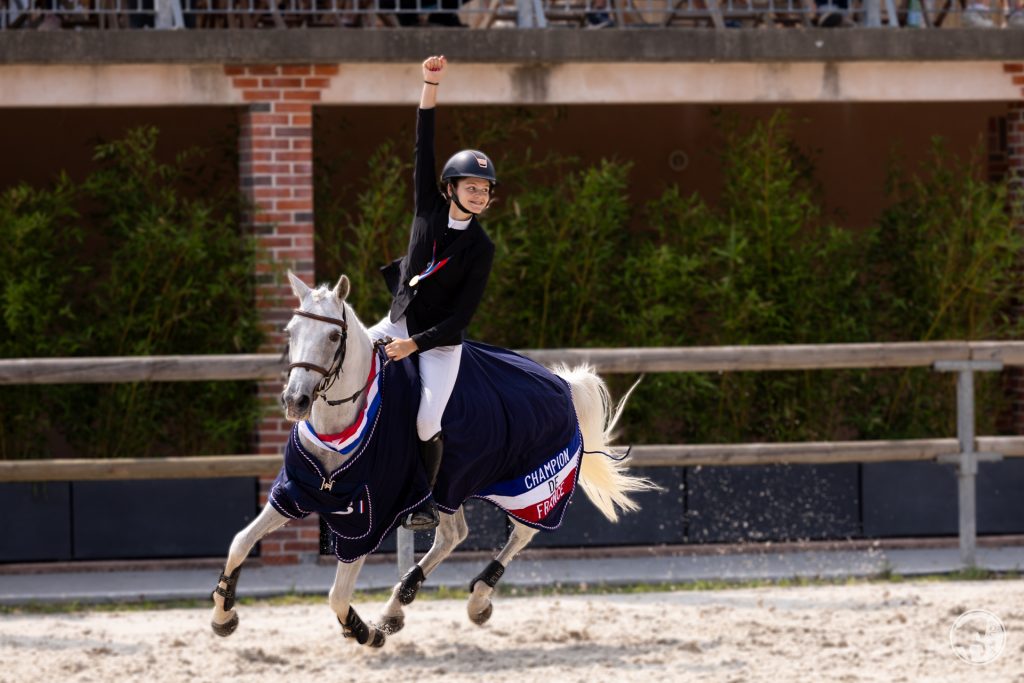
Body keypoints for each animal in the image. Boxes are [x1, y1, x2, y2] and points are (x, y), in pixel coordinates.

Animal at [210, 272, 651, 647]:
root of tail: (563, 384)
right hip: (450, 486)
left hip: (534, 485)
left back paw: (476, 599)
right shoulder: (298, 491)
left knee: (522, 533)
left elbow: (337, 595)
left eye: (334, 335)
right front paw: (223, 615)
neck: (340, 426)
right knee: (452, 535)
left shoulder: (368, 517)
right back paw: (397, 606)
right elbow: (239, 542)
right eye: (290, 332)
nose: (295, 401)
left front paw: (364, 633)